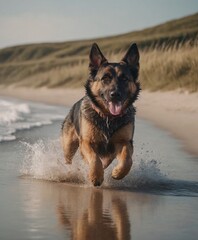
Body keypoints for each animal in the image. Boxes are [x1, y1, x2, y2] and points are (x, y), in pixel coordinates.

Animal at [61, 42, 140, 186]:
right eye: (105, 78)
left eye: (124, 78)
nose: (115, 94)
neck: (108, 118)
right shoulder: (87, 142)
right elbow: (94, 158)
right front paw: (95, 176)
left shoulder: (124, 142)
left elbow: (127, 159)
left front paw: (118, 172)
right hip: (68, 145)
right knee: (69, 160)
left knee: (107, 160)